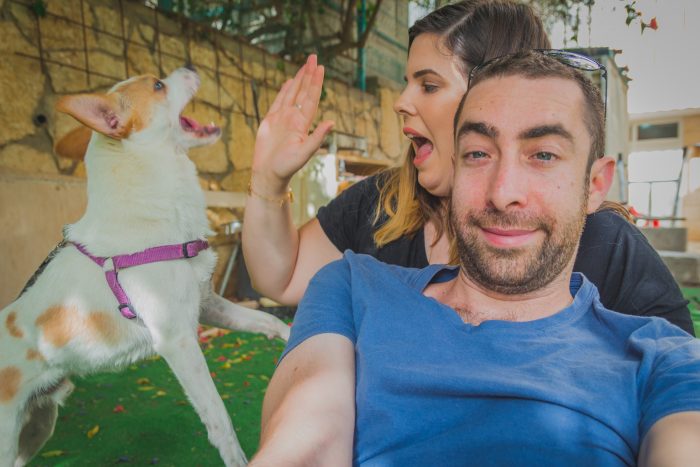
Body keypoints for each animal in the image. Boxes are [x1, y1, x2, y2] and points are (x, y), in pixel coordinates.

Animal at [0, 66, 290, 467]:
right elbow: (220, 419)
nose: (191, 67)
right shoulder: (178, 340)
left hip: (37, 426)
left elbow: (268, 321)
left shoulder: (208, 306)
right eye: (157, 85)